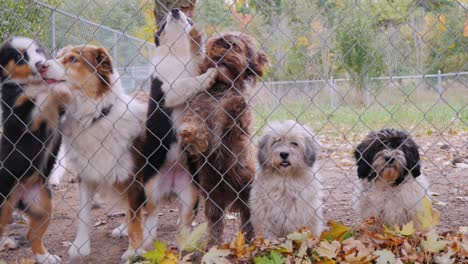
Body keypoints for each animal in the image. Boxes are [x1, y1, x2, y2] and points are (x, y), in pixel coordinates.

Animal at [178, 31, 268, 248]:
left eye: (232, 46)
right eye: (215, 46)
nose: (219, 55)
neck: (222, 89)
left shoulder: (238, 130)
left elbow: (233, 116)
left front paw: (234, 104)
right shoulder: (199, 109)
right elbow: (196, 125)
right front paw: (188, 132)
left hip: (246, 192)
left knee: (248, 220)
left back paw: (249, 241)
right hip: (213, 197)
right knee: (215, 222)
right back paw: (213, 244)